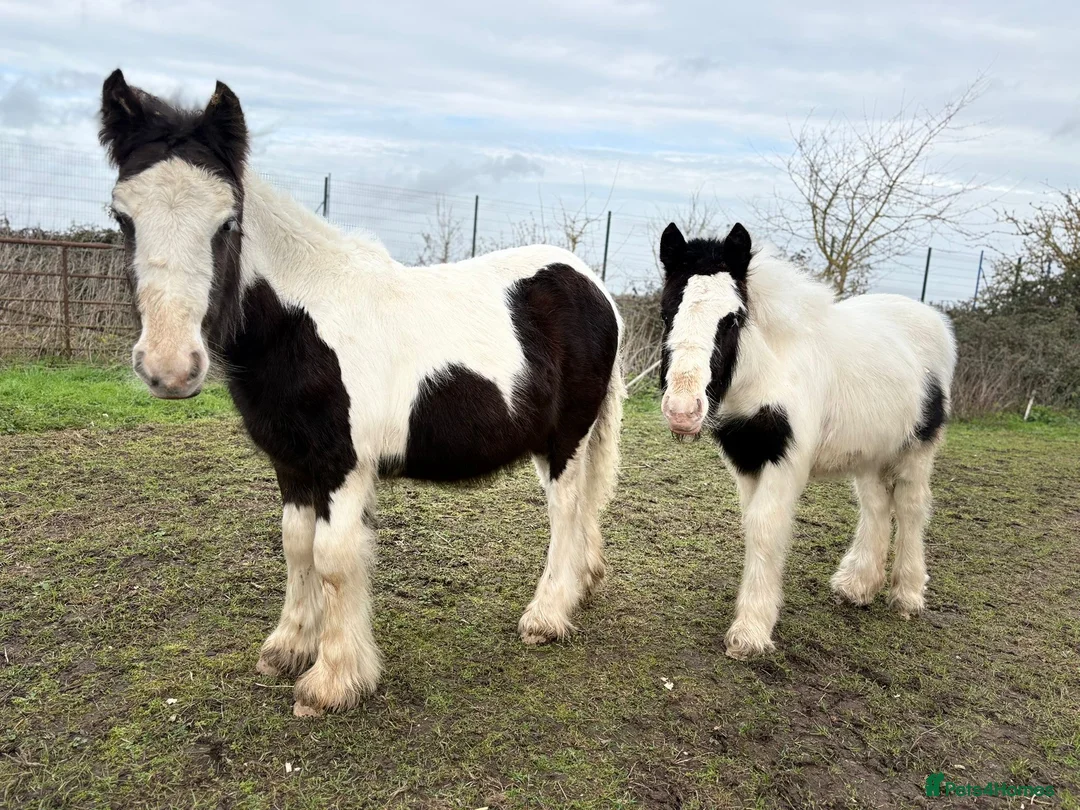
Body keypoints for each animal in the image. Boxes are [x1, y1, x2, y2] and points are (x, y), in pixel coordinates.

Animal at [98, 70, 624, 716]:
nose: (170, 368)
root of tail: (593, 284)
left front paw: (331, 682)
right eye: (123, 218)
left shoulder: (342, 465)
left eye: (228, 221)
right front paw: (287, 648)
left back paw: (547, 616)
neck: (301, 323)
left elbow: (333, 558)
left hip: (564, 441)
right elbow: (296, 546)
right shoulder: (291, 462)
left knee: (566, 513)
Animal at [657, 222, 956, 659]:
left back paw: (907, 595)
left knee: (911, 506)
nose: (683, 411)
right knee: (876, 505)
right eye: (666, 313)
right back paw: (858, 585)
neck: (771, 368)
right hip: (870, 452)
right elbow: (754, 525)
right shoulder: (747, 459)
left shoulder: (786, 461)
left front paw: (750, 632)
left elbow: (766, 527)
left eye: (733, 319)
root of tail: (932, 319)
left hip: (916, 450)